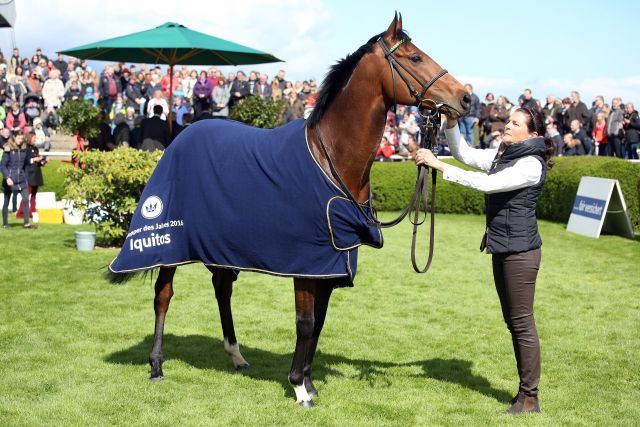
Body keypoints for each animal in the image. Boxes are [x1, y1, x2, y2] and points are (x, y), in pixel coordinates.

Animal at [107, 13, 470, 408]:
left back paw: (236, 356)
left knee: (222, 288)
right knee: (163, 295)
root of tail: (181, 136)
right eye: (415, 57)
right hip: (170, 242)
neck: (331, 159)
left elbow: (320, 322)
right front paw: (299, 388)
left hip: (218, 245)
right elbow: (306, 322)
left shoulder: (332, 262)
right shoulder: (307, 264)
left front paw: (309, 382)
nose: (465, 97)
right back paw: (157, 365)